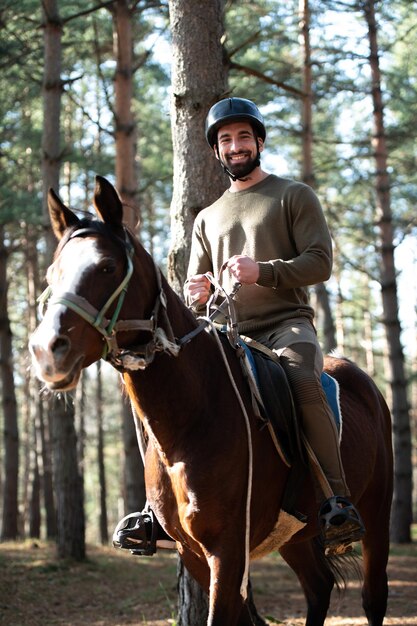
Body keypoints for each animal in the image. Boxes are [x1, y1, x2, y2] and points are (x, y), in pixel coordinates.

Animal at [30, 176, 394, 624]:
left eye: (107, 267)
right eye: (52, 272)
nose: (46, 350)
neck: (189, 421)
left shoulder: (227, 550)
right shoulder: (194, 553)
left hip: (376, 511)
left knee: (372, 596)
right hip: (295, 535)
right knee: (318, 587)